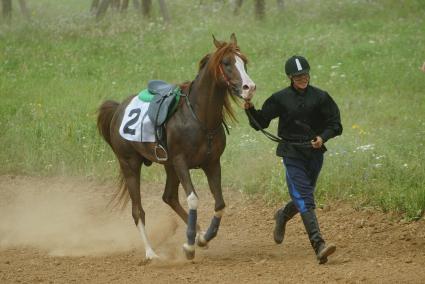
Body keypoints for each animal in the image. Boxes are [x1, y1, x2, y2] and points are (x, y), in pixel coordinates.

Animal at [96, 33, 255, 262]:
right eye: (227, 63)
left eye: (244, 61)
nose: (249, 87)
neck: (199, 117)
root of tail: (119, 108)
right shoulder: (181, 163)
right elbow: (193, 199)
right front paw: (189, 246)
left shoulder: (212, 163)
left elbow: (219, 204)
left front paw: (203, 237)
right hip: (130, 165)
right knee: (138, 210)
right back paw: (151, 253)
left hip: (168, 166)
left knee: (169, 197)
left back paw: (196, 234)